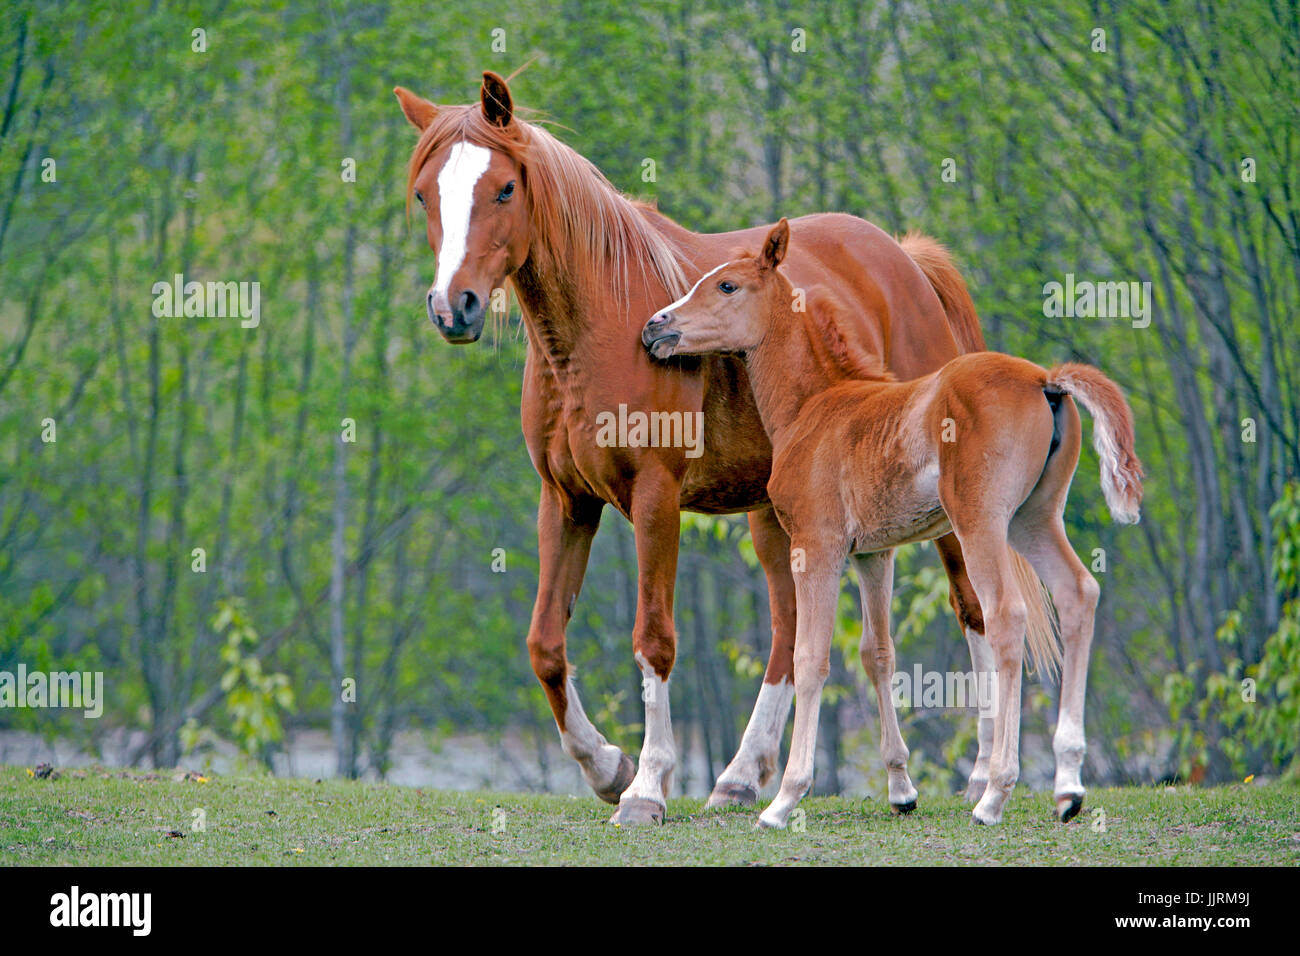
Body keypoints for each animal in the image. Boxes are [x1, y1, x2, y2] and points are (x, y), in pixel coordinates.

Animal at [644, 221, 1144, 827]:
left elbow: (810, 658)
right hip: (1034, 520)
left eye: (727, 286)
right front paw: (901, 790)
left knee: (1006, 616)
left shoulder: (817, 546)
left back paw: (995, 793)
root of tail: (1046, 380)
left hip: (980, 523)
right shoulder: (872, 554)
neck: (816, 404)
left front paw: (784, 799)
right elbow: (877, 654)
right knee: (1078, 594)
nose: (656, 325)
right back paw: (1068, 786)